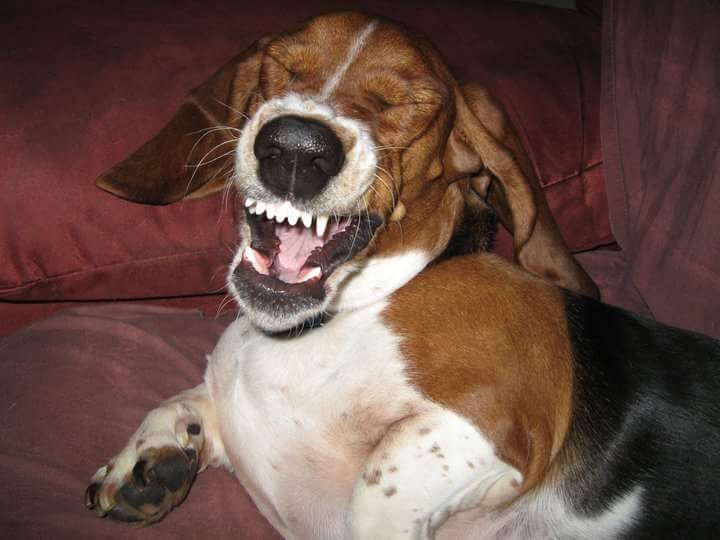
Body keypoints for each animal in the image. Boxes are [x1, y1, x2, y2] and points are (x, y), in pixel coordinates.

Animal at [83, 12, 720, 540]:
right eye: (284, 68)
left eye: (407, 103)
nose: (295, 148)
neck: (329, 326)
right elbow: (185, 400)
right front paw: (153, 455)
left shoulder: (487, 425)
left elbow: (377, 484)